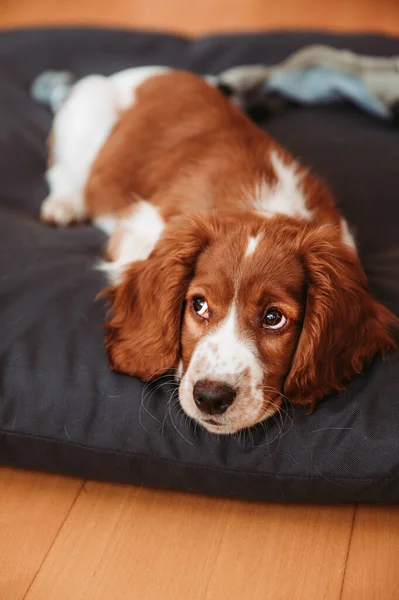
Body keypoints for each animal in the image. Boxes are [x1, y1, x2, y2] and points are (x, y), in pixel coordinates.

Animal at [39, 65, 398, 434]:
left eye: (274, 318)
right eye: (198, 305)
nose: (210, 397)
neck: (262, 209)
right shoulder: (139, 226)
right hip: (85, 114)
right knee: (63, 171)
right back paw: (63, 204)